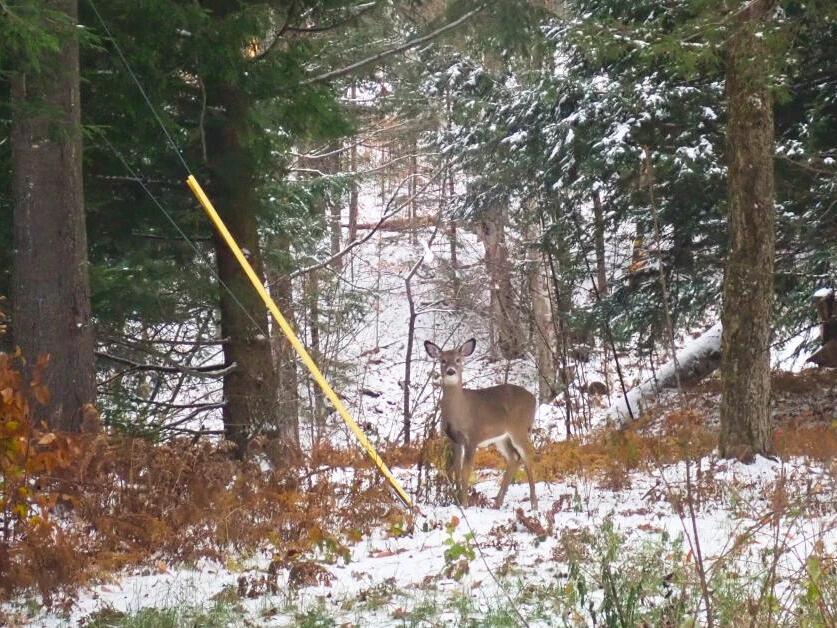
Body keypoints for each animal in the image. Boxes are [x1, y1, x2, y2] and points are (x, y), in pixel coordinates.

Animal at [424, 337, 538, 510]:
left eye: (458, 360)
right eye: (442, 360)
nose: (451, 371)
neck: (459, 411)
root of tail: (534, 399)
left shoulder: (473, 437)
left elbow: (466, 471)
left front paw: (464, 504)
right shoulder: (454, 439)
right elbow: (455, 470)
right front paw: (455, 501)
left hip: (520, 428)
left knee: (528, 457)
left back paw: (533, 504)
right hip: (502, 437)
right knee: (513, 458)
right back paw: (498, 503)